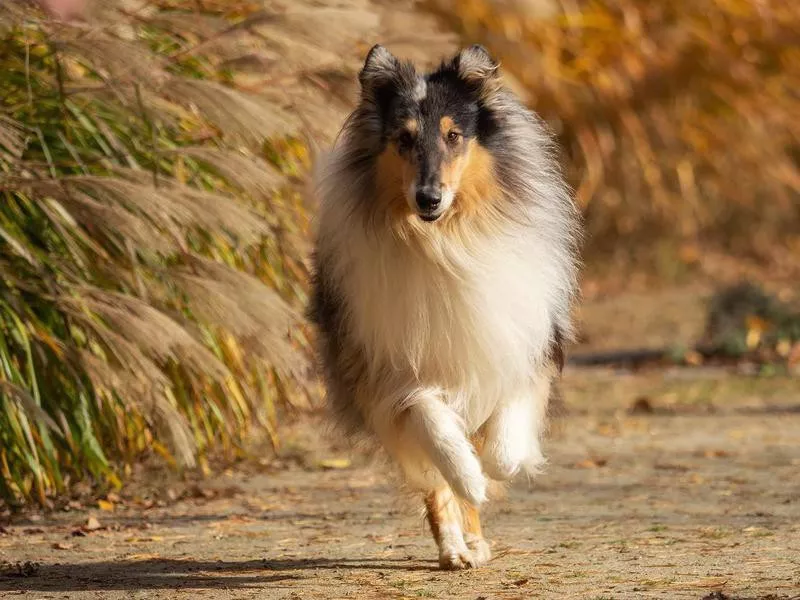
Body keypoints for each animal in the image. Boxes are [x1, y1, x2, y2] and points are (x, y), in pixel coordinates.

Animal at [310, 44, 580, 568]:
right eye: (403, 139)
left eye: (454, 136)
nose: (428, 197)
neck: (446, 240)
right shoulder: (391, 372)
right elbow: (436, 431)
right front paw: (468, 476)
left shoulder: (522, 343)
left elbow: (503, 445)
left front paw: (493, 467)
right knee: (435, 479)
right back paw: (456, 546)